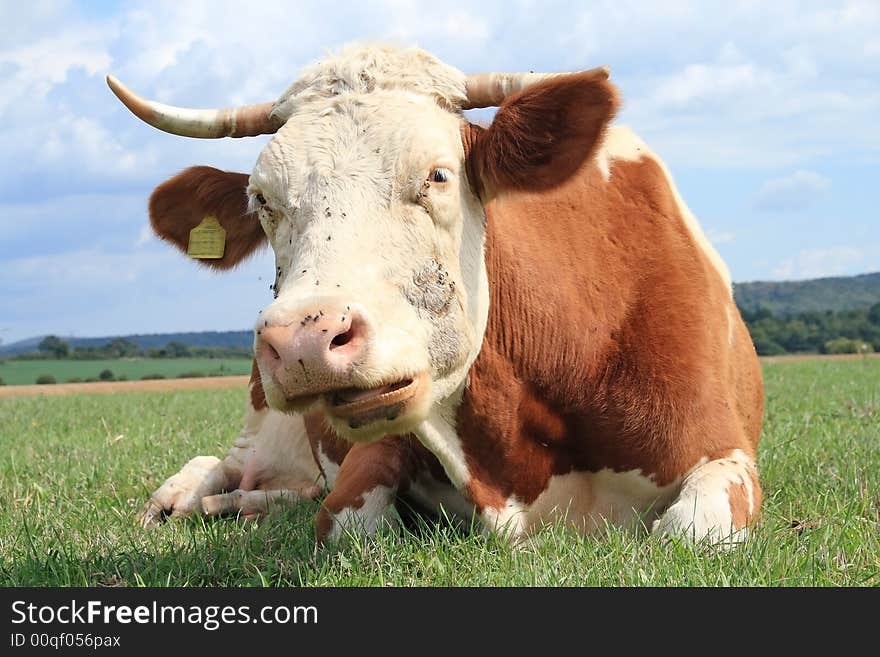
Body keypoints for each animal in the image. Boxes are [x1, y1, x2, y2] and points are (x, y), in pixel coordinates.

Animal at [111, 41, 764, 544]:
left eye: (437, 175)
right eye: (262, 200)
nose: (302, 341)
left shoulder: (723, 450)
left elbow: (691, 530)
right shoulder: (375, 445)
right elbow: (349, 522)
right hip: (259, 424)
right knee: (220, 466)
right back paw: (188, 499)